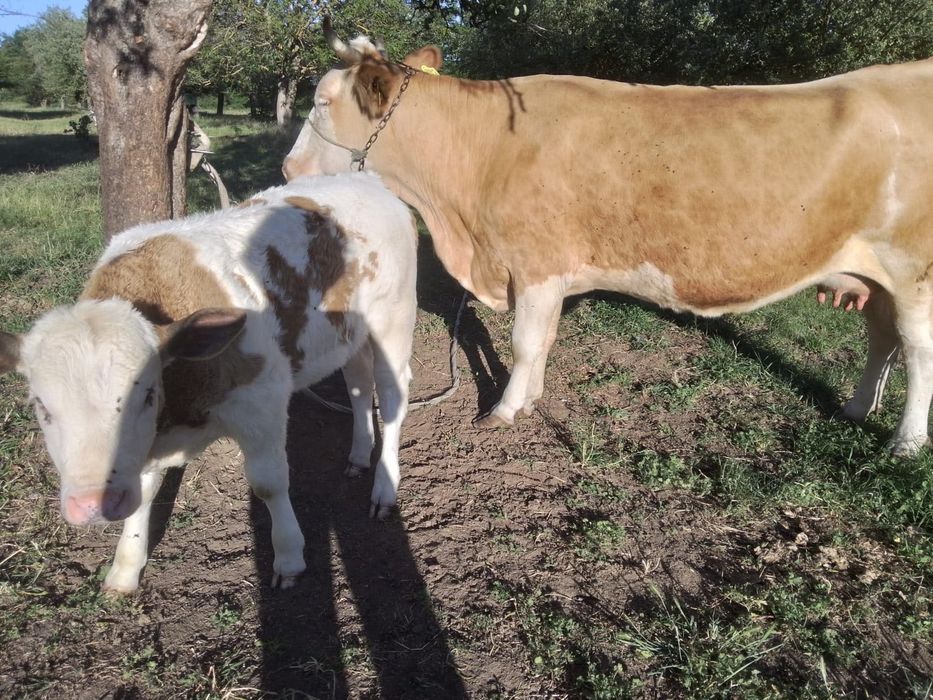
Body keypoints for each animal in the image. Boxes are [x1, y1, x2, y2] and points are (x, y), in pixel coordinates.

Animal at [0, 172, 417, 592]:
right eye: (41, 406)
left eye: (146, 394)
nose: (92, 504)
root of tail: (368, 179)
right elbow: (144, 491)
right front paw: (125, 568)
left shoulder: (261, 401)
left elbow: (269, 483)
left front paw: (288, 557)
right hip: (348, 334)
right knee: (359, 384)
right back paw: (358, 455)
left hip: (394, 319)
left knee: (392, 397)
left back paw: (384, 487)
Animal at [282, 22, 933, 456]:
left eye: (322, 101)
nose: (288, 170)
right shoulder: (546, 272)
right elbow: (543, 340)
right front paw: (532, 398)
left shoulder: (537, 262)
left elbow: (524, 342)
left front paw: (505, 409)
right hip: (874, 274)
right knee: (882, 341)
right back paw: (856, 408)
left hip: (912, 271)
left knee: (917, 351)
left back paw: (904, 442)